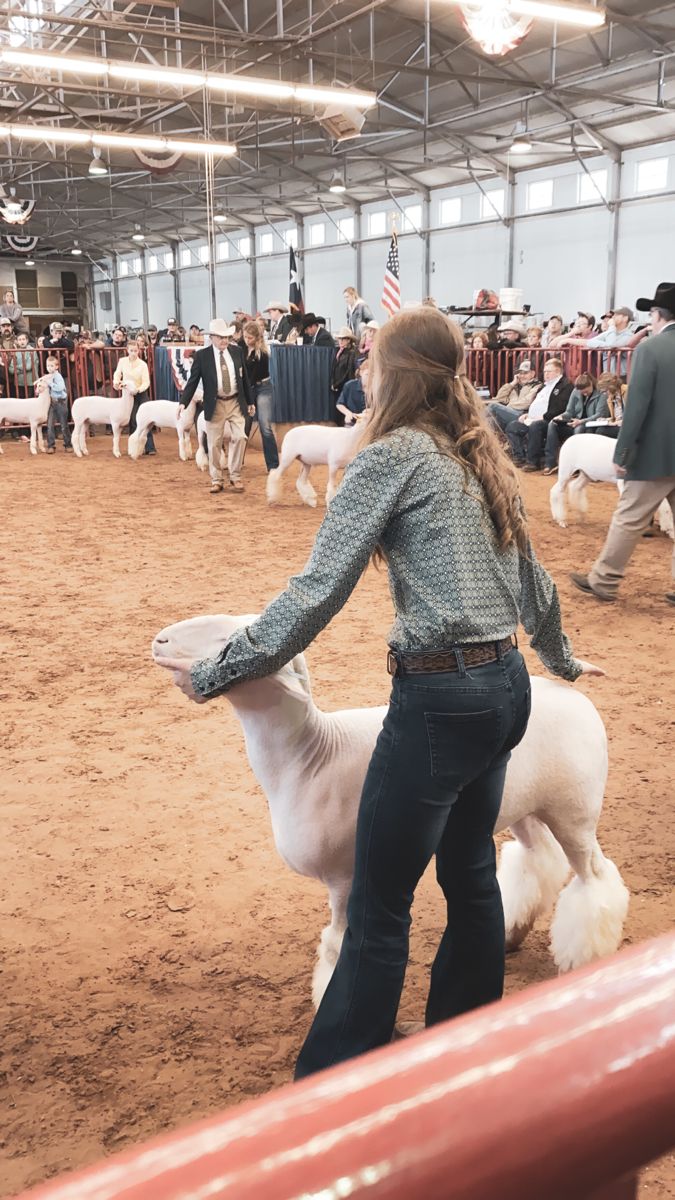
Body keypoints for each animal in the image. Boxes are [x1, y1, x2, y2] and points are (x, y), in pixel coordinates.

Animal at [152, 614, 624, 1008]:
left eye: (230, 640)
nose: (160, 640)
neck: (309, 756)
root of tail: (574, 696)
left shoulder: (346, 876)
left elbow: (336, 945)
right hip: (518, 804)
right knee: (539, 859)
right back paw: (511, 932)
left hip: (574, 810)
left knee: (594, 877)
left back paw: (584, 957)